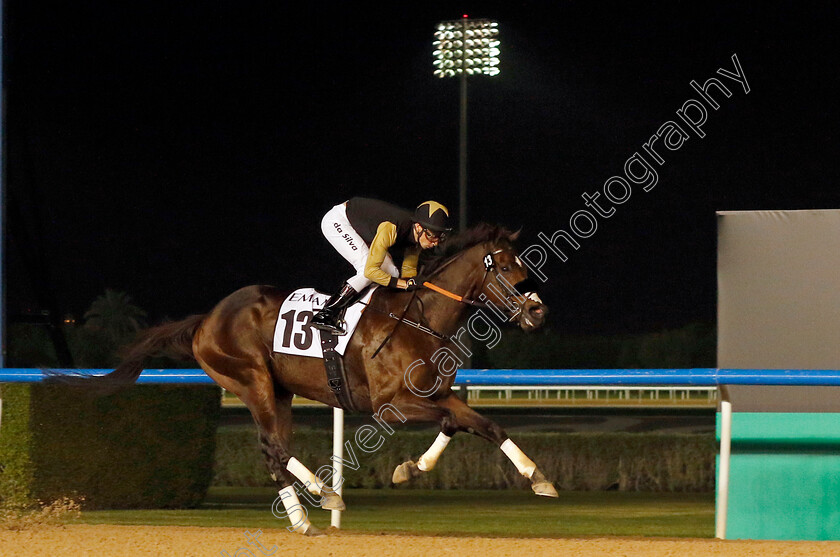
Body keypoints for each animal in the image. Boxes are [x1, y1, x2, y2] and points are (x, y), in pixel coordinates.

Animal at [60, 223, 556, 536]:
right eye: (505, 268)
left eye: (520, 266)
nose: (537, 311)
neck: (419, 318)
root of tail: (205, 320)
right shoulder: (390, 405)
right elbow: (458, 422)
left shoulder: (436, 392)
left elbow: (477, 423)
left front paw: (536, 478)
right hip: (252, 380)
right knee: (273, 447)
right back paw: (324, 494)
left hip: (278, 391)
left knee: (273, 450)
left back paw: (304, 520)